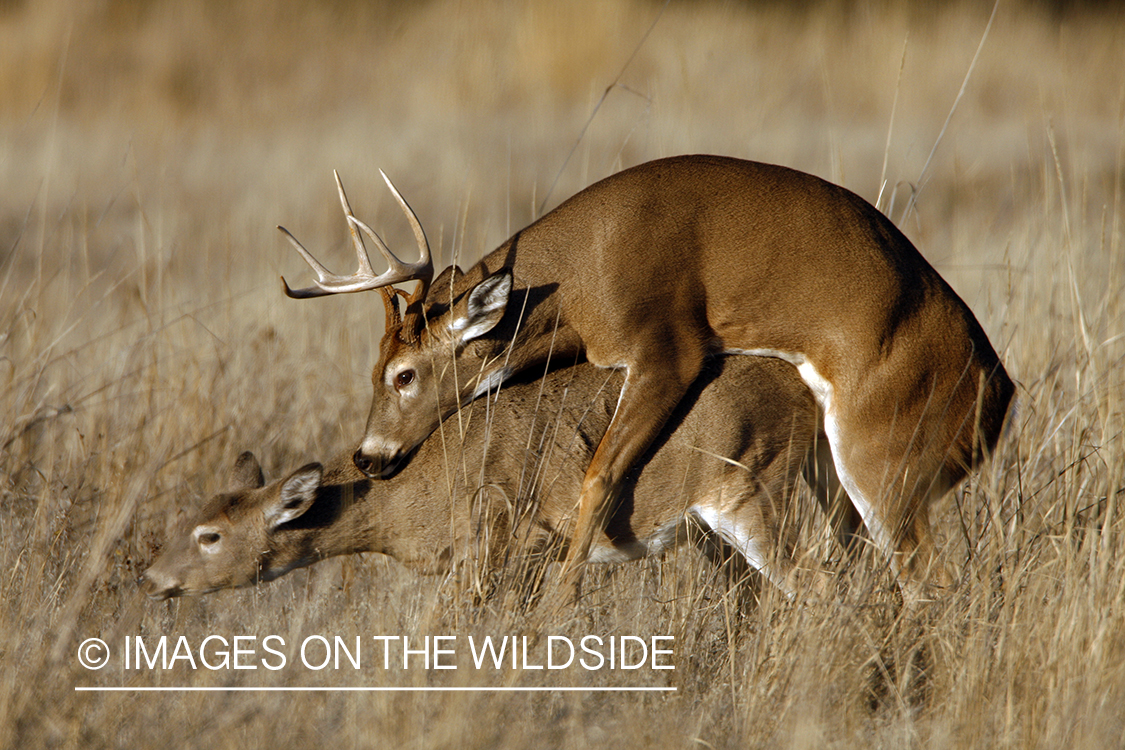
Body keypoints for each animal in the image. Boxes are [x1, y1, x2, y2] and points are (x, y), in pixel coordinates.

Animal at [138, 357, 846, 598]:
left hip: (751, 489)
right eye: (185, 517)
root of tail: (809, 391)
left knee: (817, 581)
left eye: (209, 535)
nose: (150, 579)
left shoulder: (507, 540)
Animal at [276, 157, 1017, 602]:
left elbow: (598, 476)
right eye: (373, 369)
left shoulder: (666, 348)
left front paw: (562, 600)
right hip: (839, 472)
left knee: (933, 581)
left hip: (886, 459)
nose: (368, 458)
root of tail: (996, 396)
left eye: (403, 375)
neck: (575, 287)